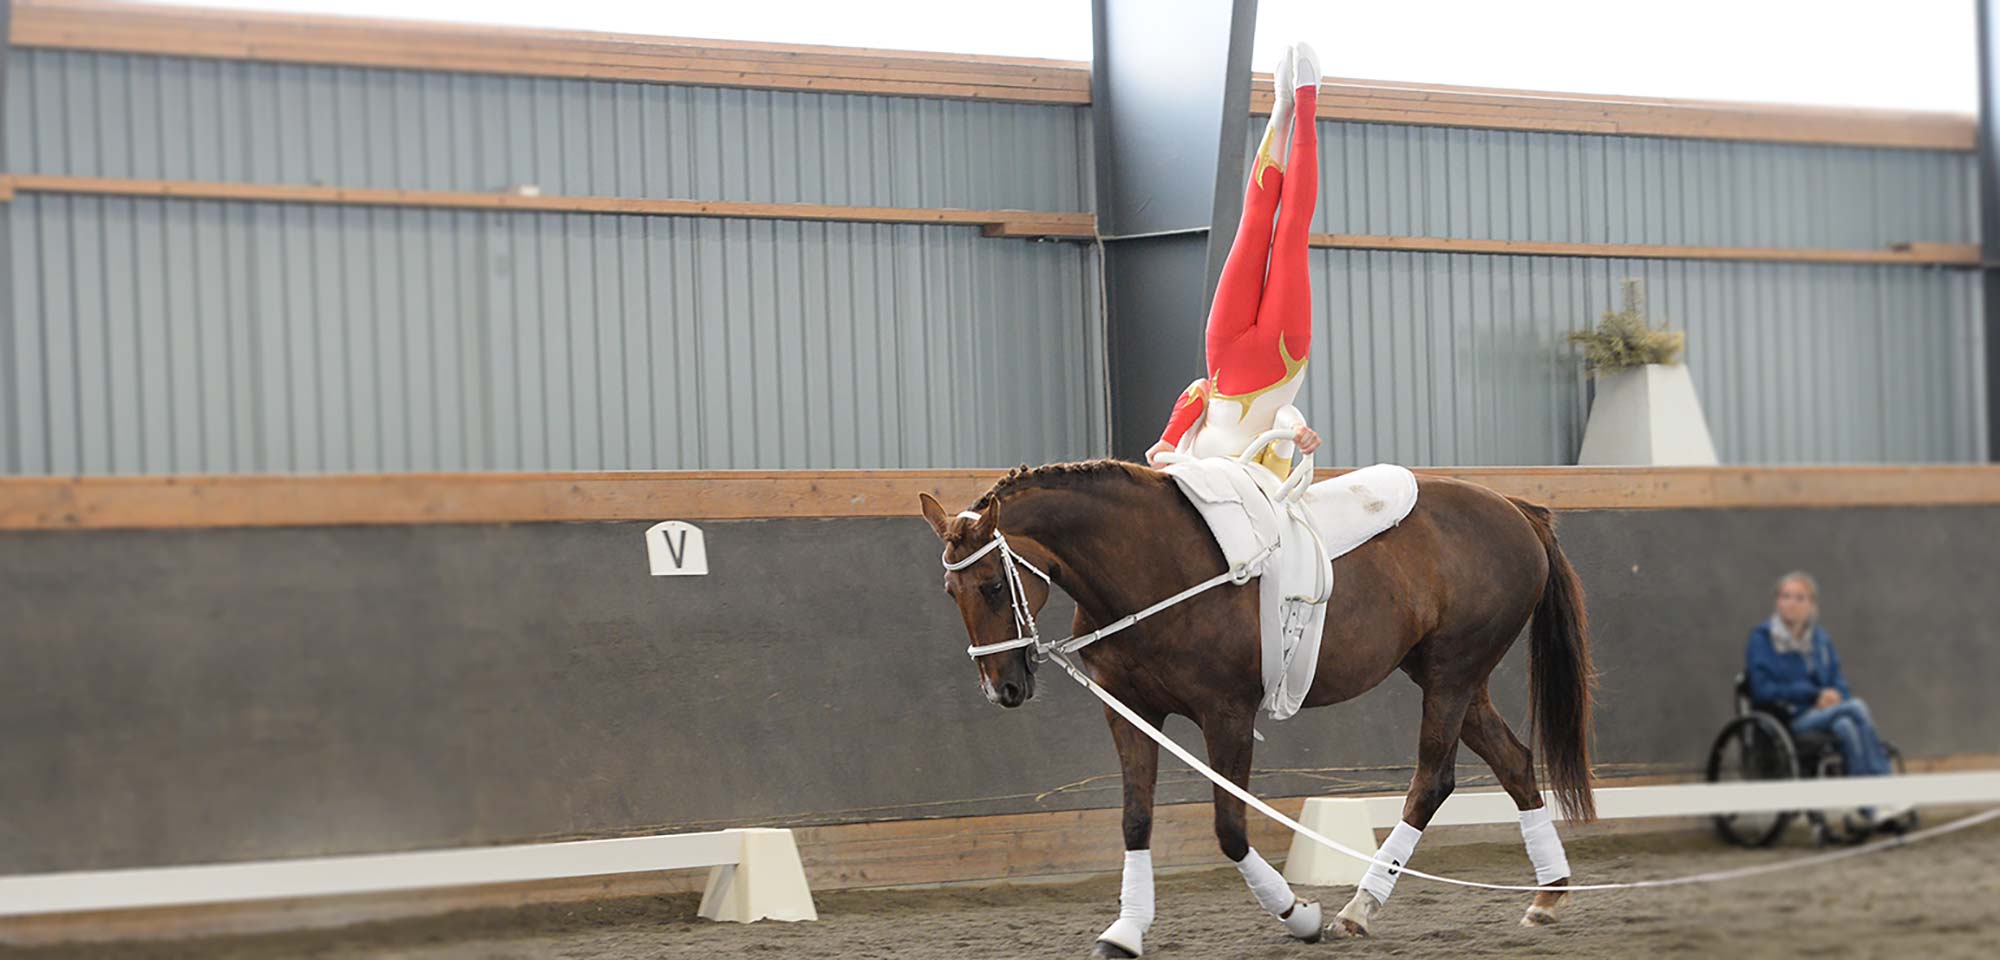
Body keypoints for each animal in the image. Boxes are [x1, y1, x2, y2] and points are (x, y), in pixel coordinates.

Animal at [916, 464, 1592, 952]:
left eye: (993, 587)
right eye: (949, 591)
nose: (1001, 689)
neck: (1149, 567)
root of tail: (1515, 509)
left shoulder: (1227, 716)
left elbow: (1230, 828)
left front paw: (1299, 915)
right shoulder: (1130, 711)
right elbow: (1135, 820)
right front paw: (1126, 931)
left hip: (1453, 673)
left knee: (1433, 781)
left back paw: (1357, 909)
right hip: (1449, 676)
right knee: (1514, 762)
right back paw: (1547, 895)